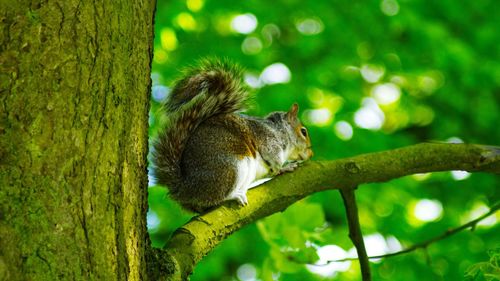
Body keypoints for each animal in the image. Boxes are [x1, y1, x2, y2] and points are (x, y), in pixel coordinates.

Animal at [151, 59, 312, 212]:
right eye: (303, 132)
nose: (311, 153)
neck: (281, 130)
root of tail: (184, 188)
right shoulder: (268, 139)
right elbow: (274, 160)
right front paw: (285, 168)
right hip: (231, 167)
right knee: (217, 197)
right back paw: (234, 195)